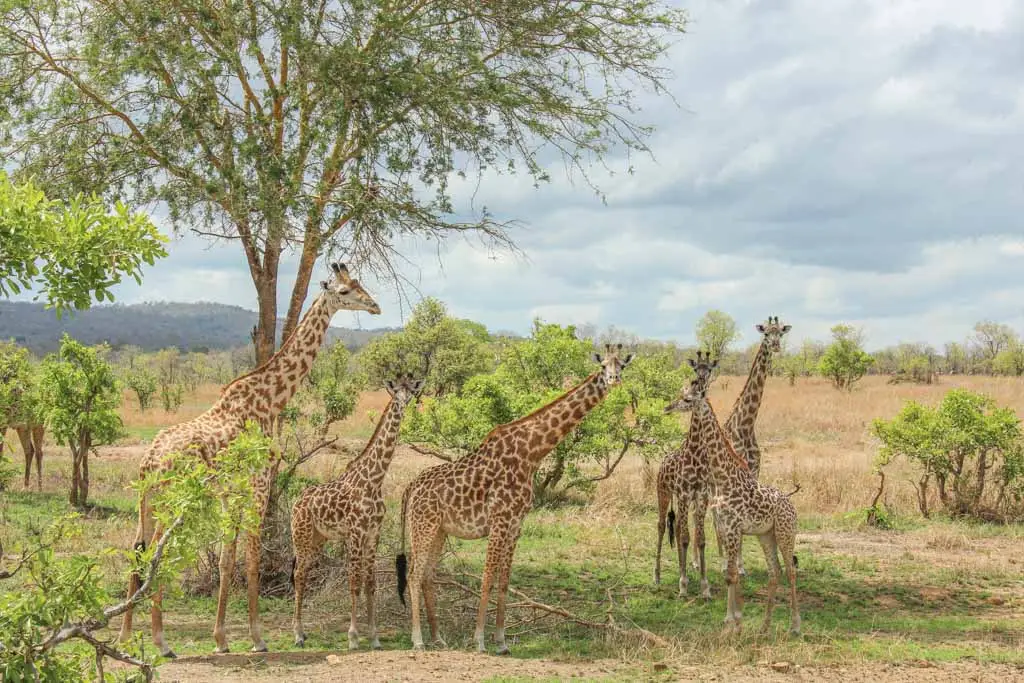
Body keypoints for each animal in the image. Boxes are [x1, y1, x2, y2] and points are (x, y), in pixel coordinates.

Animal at [117, 262, 380, 655]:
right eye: (345, 291)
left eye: (360, 284)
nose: (375, 306)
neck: (272, 399)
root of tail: (148, 462)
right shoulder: (260, 483)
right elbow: (252, 558)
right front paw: (257, 638)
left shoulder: (230, 492)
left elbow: (228, 560)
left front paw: (221, 639)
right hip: (171, 502)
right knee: (155, 554)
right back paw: (161, 642)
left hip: (146, 502)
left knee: (137, 551)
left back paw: (124, 638)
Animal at [290, 374, 425, 651]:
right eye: (396, 395)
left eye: (411, 395)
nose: (402, 408)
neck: (374, 480)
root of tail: (296, 503)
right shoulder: (355, 534)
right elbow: (354, 583)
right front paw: (353, 637)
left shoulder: (373, 533)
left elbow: (370, 584)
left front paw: (374, 637)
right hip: (301, 536)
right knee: (298, 575)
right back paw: (297, 634)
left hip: (318, 539)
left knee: (304, 574)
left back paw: (303, 633)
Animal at [393, 344, 626, 655]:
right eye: (603, 366)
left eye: (622, 365)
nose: (614, 379)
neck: (532, 453)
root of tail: (410, 487)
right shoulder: (500, 520)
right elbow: (487, 578)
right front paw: (479, 640)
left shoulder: (517, 523)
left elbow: (504, 582)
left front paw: (502, 641)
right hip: (423, 526)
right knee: (414, 574)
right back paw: (418, 640)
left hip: (440, 530)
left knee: (428, 574)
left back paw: (438, 638)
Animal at [667, 352, 802, 634]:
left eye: (688, 398)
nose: (668, 407)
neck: (723, 476)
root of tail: (792, 507)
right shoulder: (725, 526)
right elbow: (728, 573)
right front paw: (732, 619)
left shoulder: (732, 528)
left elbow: (730, 573)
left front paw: (734, 621)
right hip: (766, 535)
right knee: (775, 572)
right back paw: (764, 626)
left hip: (785, 533)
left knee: (791, 571)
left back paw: (795, 625)